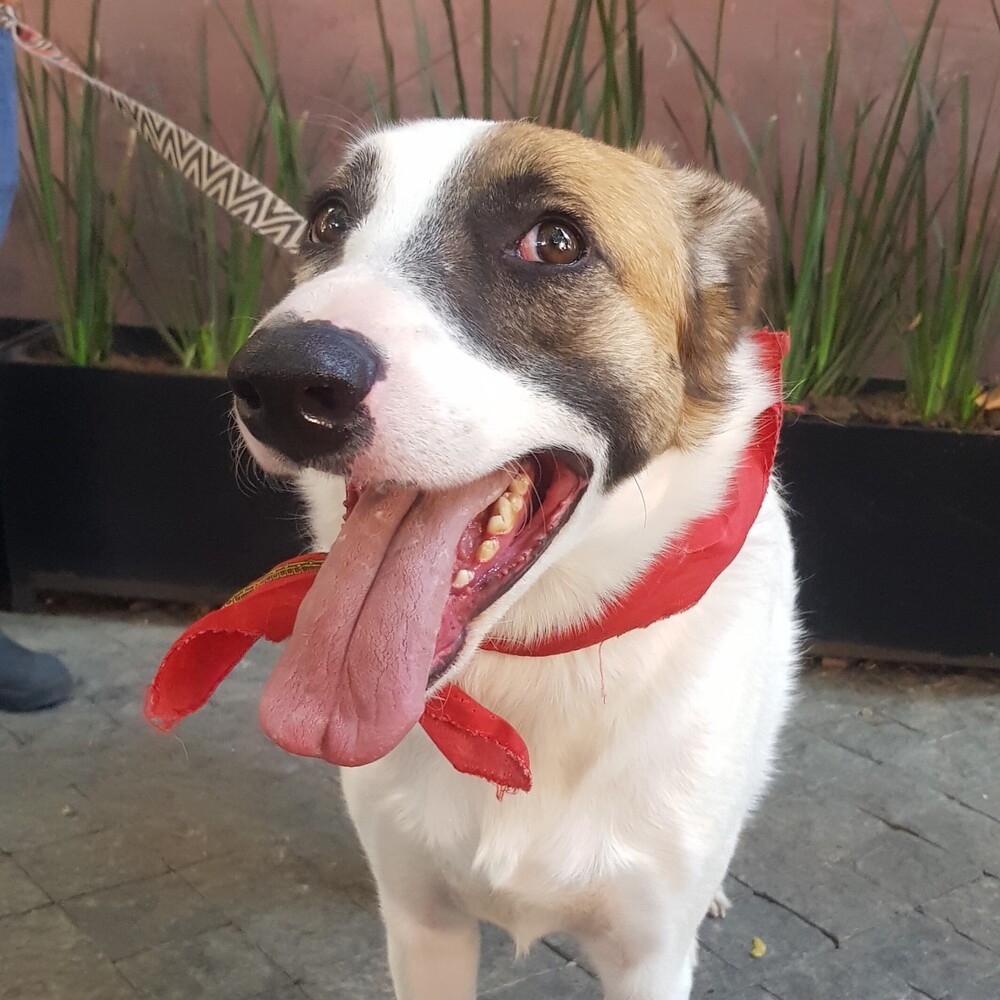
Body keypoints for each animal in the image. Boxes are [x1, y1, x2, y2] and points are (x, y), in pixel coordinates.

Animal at [225, 119, 796, 1000]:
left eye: (554, 241)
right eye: (327, 220)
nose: (282, 382)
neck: (539, 659)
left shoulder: (649, 958)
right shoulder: (424, 927)